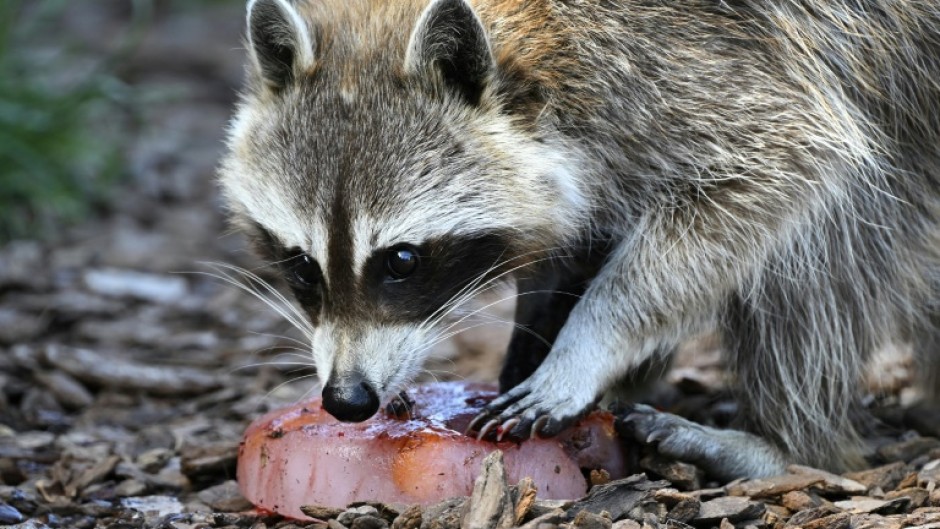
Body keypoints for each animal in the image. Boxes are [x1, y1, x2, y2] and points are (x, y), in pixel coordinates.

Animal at [220, 0, 940, 478]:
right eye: (302, 264)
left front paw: (584, 346)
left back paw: (783, 446)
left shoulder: (696, 64)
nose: (347, 399)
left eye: (401, 261)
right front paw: (538, 329)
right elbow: (573, 234)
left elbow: (777, 170)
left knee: (825, 254)